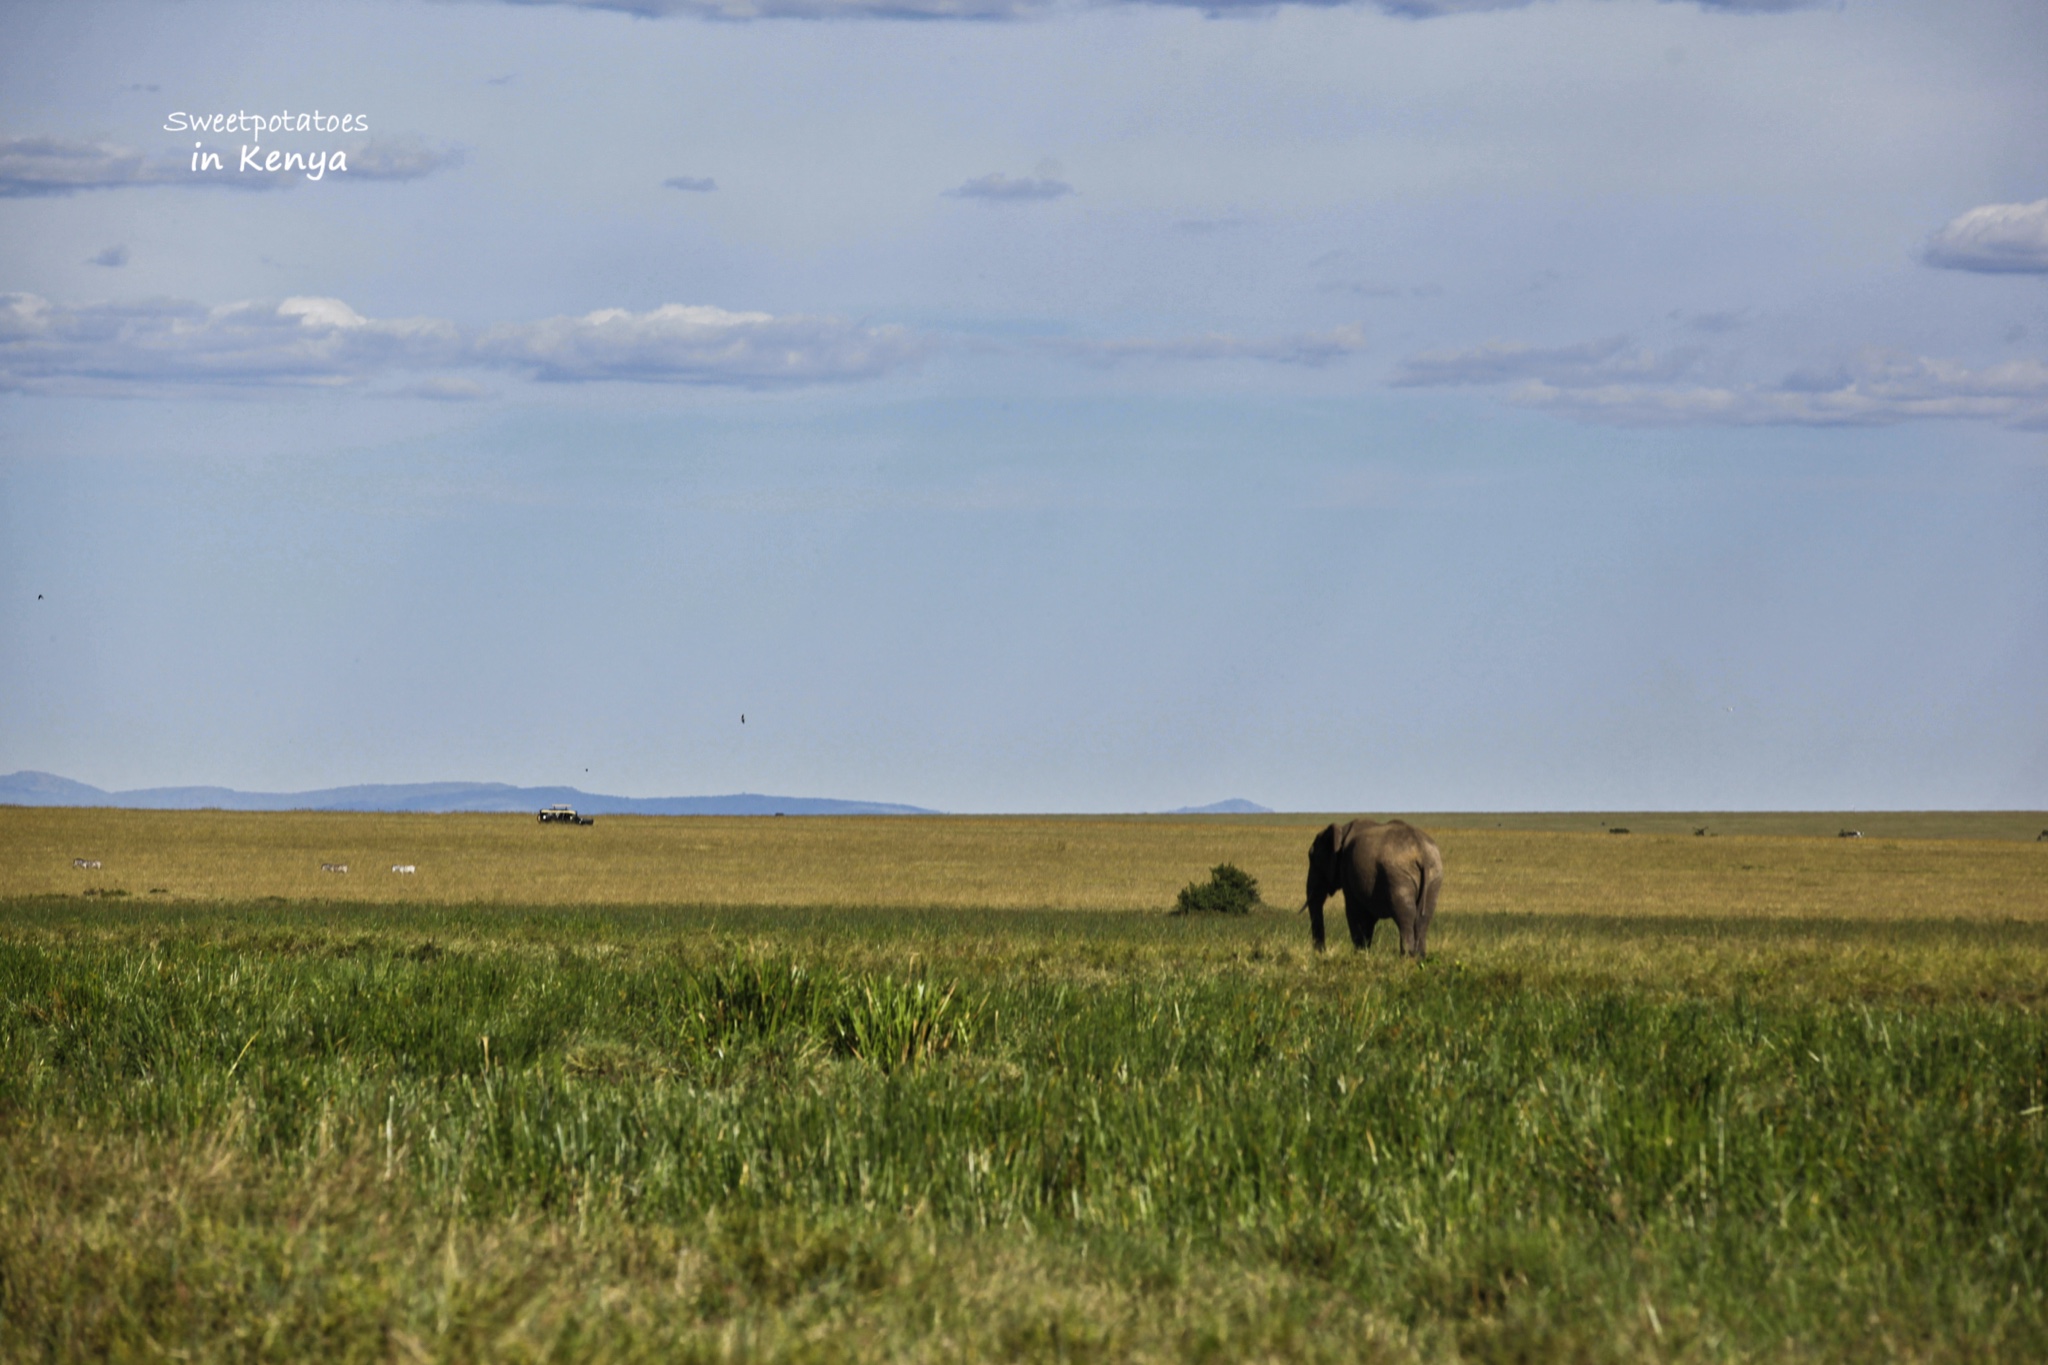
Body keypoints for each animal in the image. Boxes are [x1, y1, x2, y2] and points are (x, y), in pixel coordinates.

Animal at [1302, 822, 1449, 961]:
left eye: (1312, 859)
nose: (1322, 952)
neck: (1341, 831)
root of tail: (1421, 852)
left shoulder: (1347, 871)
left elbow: (1353, 912)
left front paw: (1359, 954)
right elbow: (1368, 917)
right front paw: (1365, 952)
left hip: (1398, 875)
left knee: (1406, 916)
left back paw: (1407, 957)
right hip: (1434, 874)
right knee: (1423, 917)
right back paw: (1419, 957)